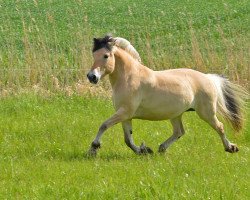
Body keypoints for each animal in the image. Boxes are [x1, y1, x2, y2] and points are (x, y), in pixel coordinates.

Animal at [87, 34, 247, 156]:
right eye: (93, 55)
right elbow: (128, 139)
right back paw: (161, 148)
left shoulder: (125, 112)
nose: (91, 77)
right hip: (176, 114)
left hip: (206, 112)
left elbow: (104, 125)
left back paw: (231, 148)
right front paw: (144, 150)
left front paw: (93, 148)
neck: (129, 77)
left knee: (219, 126)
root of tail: (208, 78)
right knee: (179, 131)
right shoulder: (126, 115)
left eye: (106, 56)